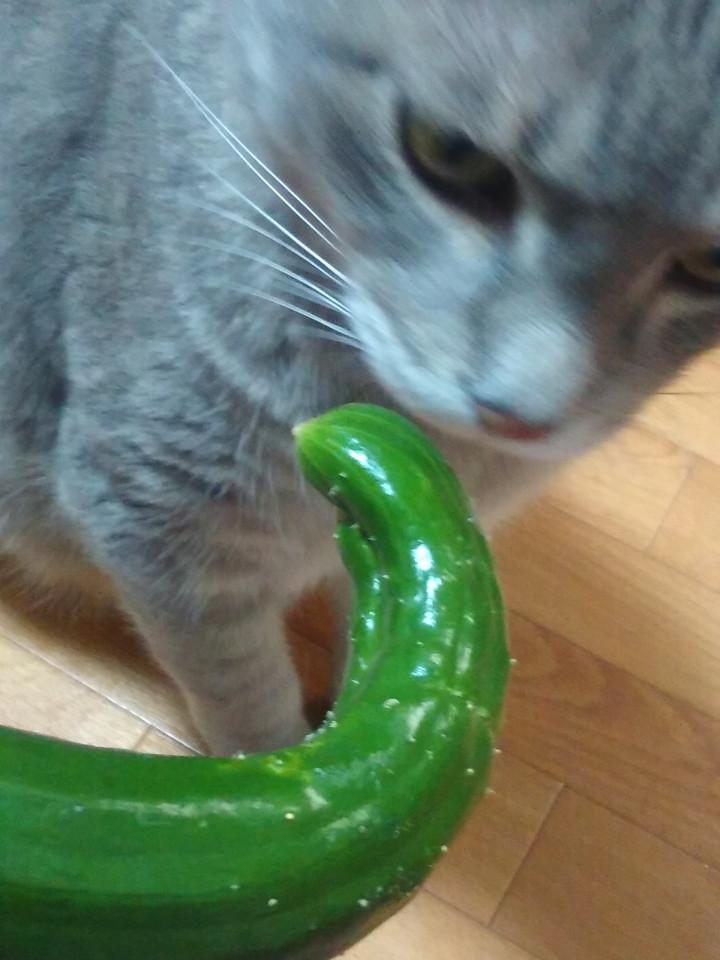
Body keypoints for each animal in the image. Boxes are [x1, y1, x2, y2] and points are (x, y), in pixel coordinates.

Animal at [1, 0, 719, 755]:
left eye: (712, 265)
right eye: (449, 153)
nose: (519, 413)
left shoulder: (416, 528)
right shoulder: (158, 517)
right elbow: (246, 701)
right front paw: (286, 754)